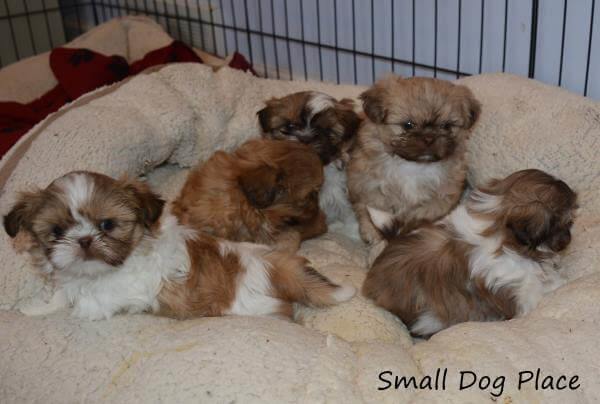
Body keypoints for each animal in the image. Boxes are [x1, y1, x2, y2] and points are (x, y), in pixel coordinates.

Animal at [2, 170, 354, 318]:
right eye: (57, 230)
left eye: (107, 225)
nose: (84, 240)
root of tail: (269, 264)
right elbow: (62, 294)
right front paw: (37, 307)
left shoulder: (121, 291)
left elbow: (89, 304)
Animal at [256, 91, 360, 240]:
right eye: (290, 126)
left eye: (324, 130)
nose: (305, 139)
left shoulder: (340, 190)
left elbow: (346, 208)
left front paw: (355, 232)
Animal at [344, 77, 480, 245]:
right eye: (408, 125)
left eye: (447, 126)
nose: (429, 137)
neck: (414, 165)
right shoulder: (366, 184)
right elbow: (370, 206)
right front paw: (372, 233)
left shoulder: (445, 195)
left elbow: (424, 213)